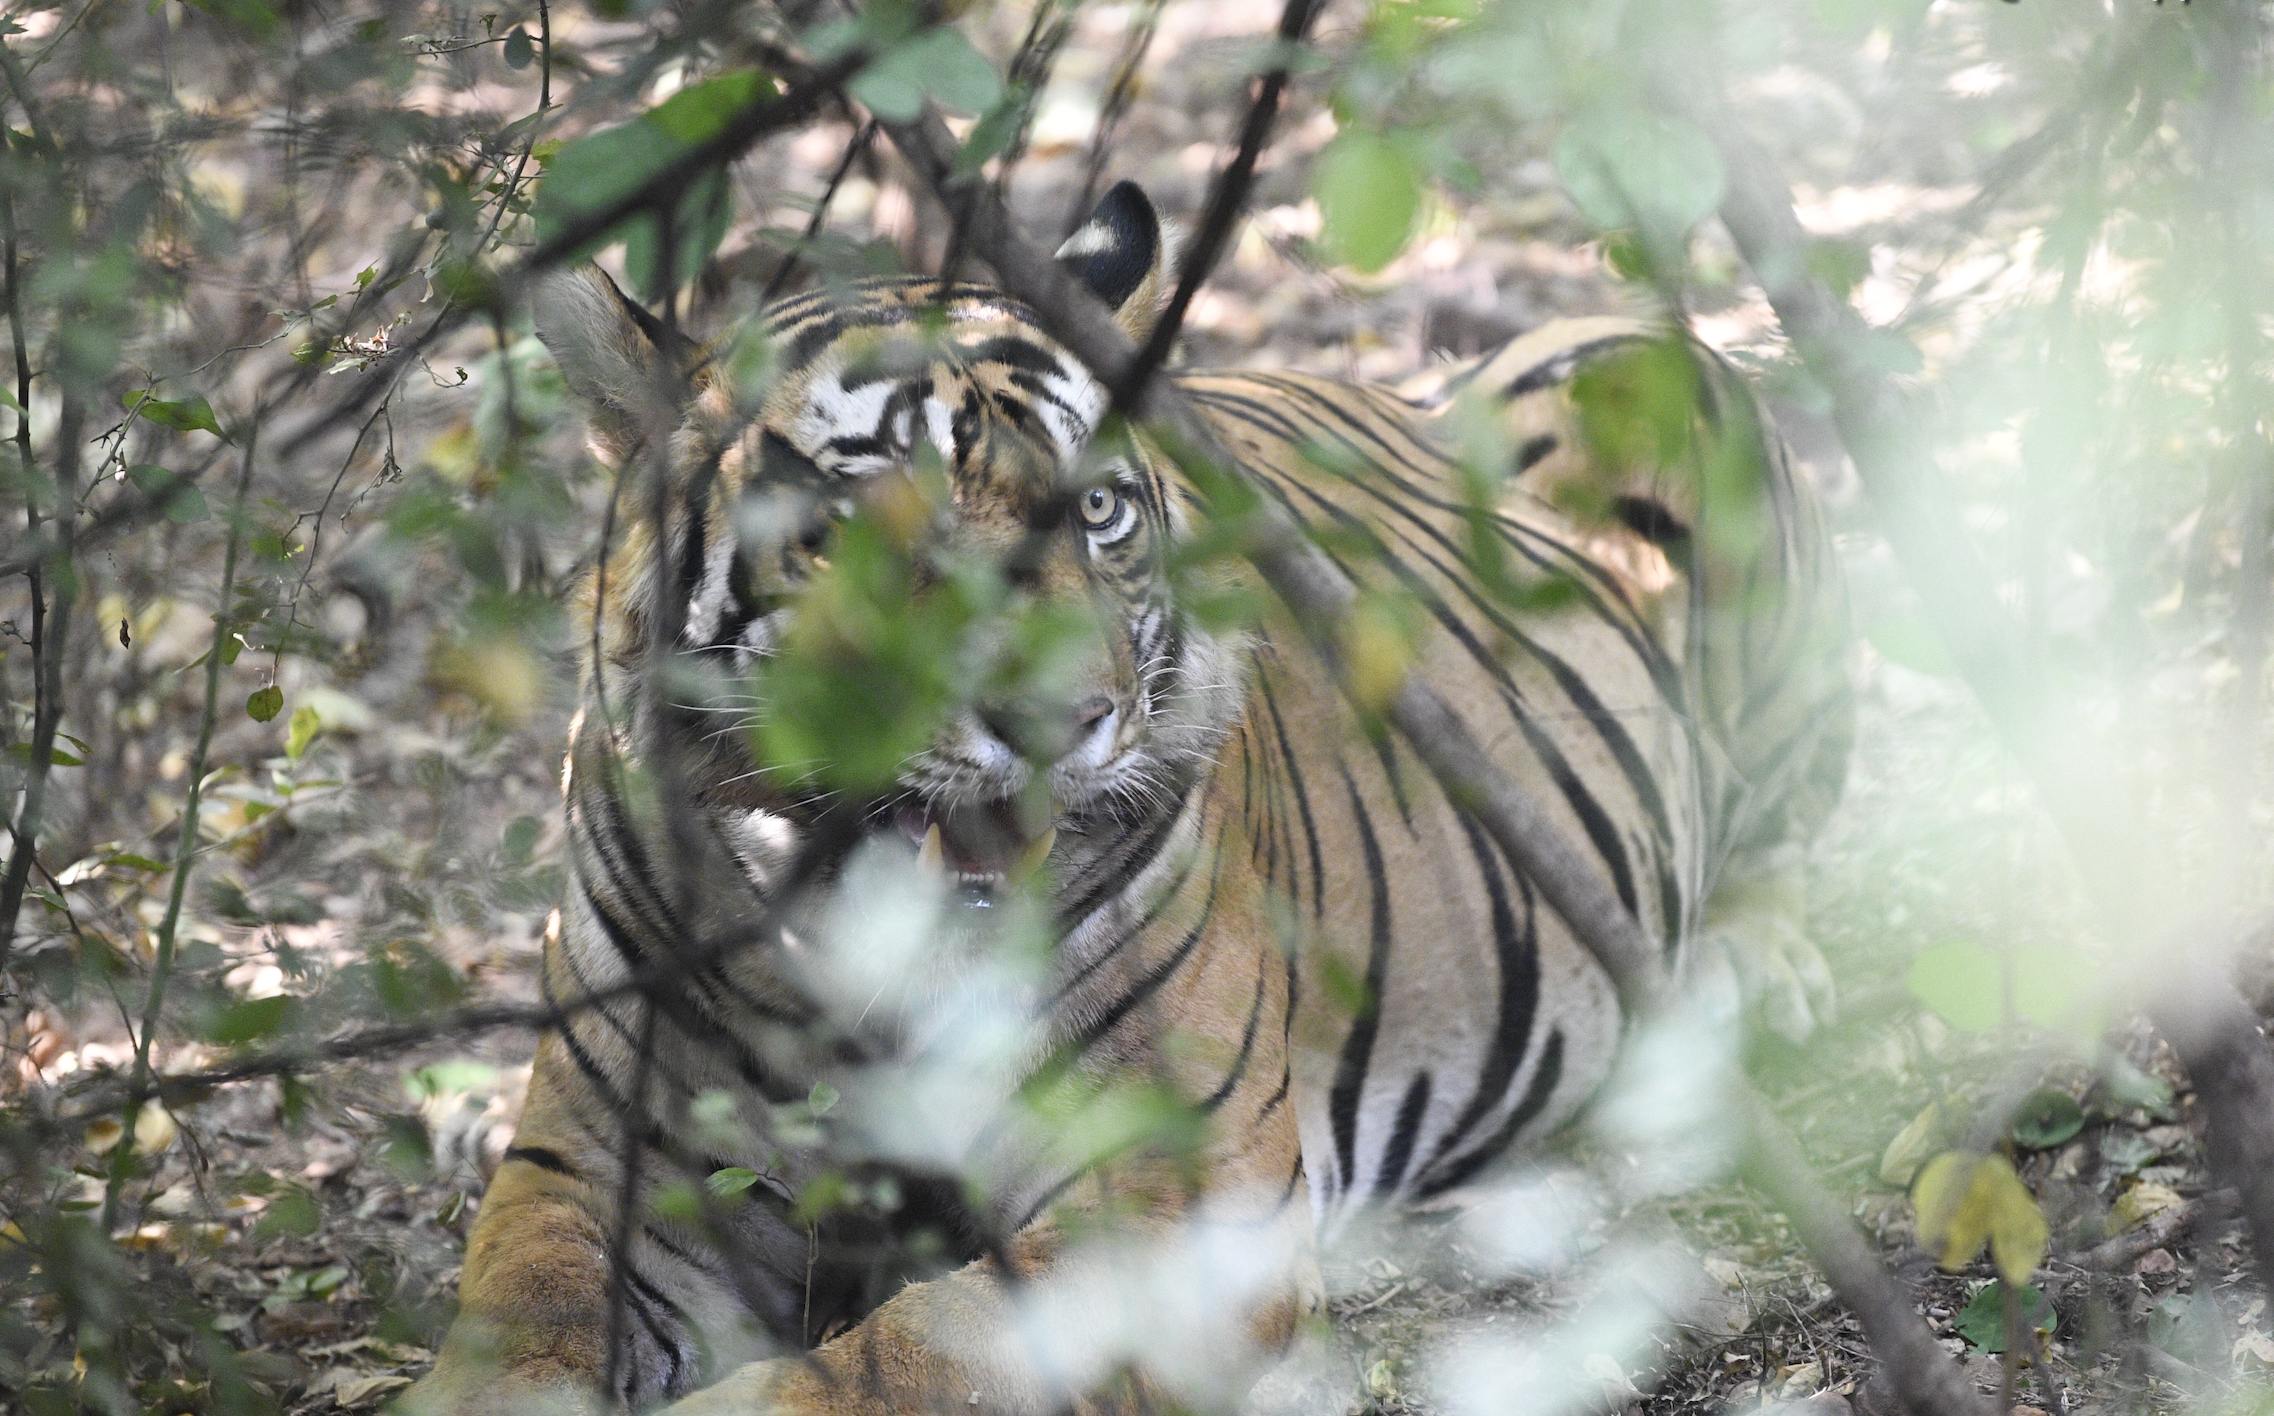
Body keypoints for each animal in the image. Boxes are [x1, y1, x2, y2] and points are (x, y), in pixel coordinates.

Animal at [401, 179, 1851, 1416]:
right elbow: (515, 1332)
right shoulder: (598, 1160)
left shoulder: (1171, 1203)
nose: (1064, 722)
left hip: (1644, 368)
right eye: (864, 525)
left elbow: (891, 1359)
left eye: (1096, 511)